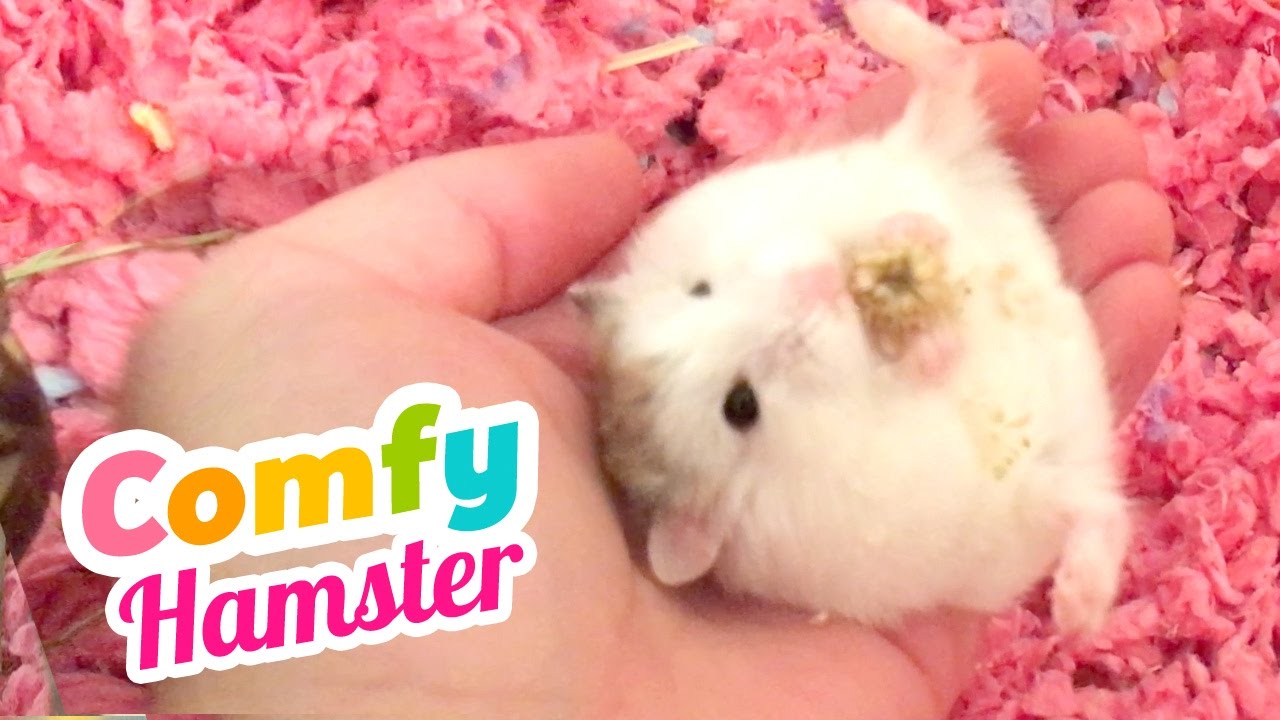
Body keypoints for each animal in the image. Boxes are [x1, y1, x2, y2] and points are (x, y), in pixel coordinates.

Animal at [570, 0, 1131, 636]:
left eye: (700, 290)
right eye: (740, 406)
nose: (818, 282)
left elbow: (872, 225)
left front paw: (908, 237)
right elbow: (932, 367)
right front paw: (931, 341)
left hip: (922, 146)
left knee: (949, 66)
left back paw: (873, 18)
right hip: (1034, 494)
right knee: (1100, 510)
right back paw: (1077, 611)